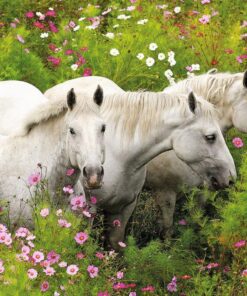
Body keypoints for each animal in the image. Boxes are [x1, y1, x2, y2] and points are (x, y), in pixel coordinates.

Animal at [43, 77, 236, 250]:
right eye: (210, 137)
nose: (230, 177)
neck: (120, 157)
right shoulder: (90, 209)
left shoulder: (124, 207)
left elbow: (116, 244)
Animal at [145, 70, 247, 236]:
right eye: (211, 137)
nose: (230, 179)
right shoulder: (165, 193)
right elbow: (167, 228)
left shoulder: (202, 191)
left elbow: (196, 220)